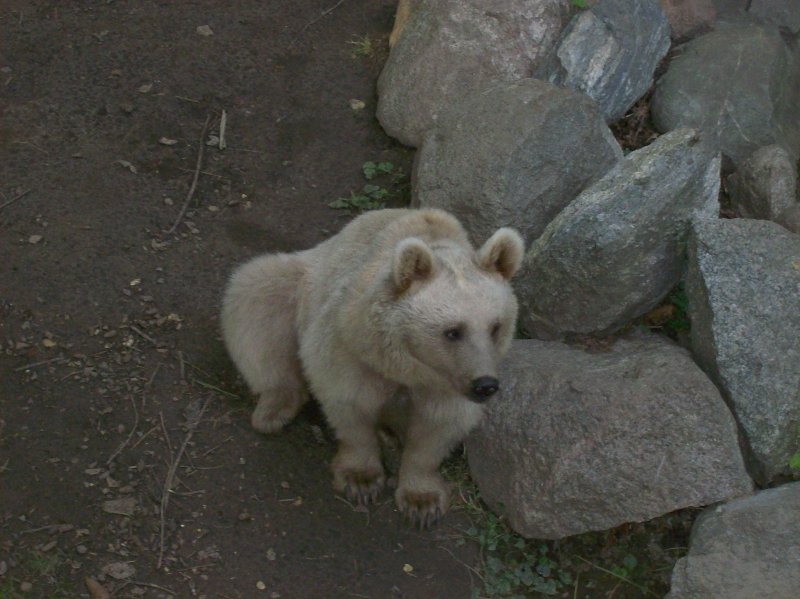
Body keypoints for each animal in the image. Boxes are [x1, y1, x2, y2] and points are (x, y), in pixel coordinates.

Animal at [220, 209, 524, 528]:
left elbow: (438, 426)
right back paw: (275, 407)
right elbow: (349, 402)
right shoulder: (351, 345)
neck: (408, 368)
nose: (485, 384)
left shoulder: (445, 384)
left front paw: (422, 501)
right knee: (256, 297)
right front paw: (361, 479)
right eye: (453, 331)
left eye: (495, 327)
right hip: (299, 283)